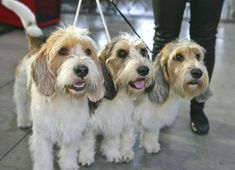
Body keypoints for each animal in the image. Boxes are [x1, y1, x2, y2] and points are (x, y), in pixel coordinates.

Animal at [2, 0, 103, 169]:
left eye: (88, 51)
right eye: (62, 51)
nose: (82, 69)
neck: (64, 99)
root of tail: (36, 47)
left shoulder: (71, 132)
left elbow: (68, 155)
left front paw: (70, 165)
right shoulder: (42, 137)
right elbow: (43, 159)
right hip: (21, 89)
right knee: (21, 105)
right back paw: (23, 121)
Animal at [79, 33, 155, 165]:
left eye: (143, 52)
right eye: (121, 53)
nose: (144, 70)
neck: (120, 94)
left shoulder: (119, 120)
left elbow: (115, 139)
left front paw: (115, 153)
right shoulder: (89, 123)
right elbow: (87, 140)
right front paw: (86, 157)